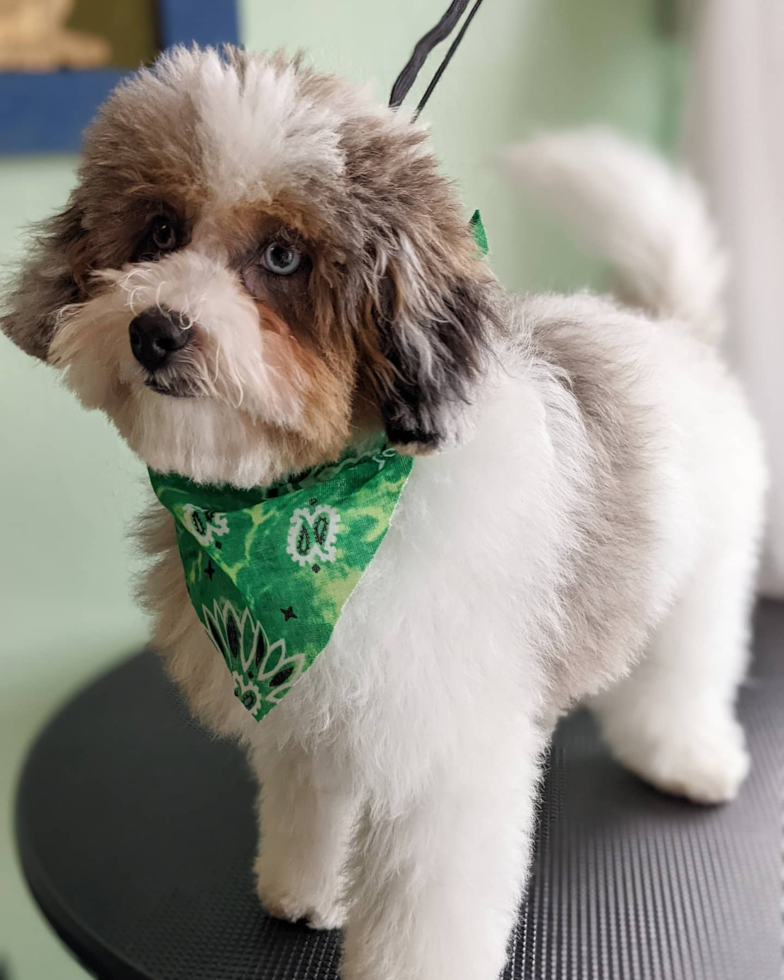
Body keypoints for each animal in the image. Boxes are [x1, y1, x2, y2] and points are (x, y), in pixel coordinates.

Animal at [1, 47, 764, 980]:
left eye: (282, 254)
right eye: (159, 231)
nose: (155, 330)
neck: (308, 514)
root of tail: (666, 329)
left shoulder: (444, 749)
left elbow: (425, 900)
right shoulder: (311, 708)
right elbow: (310, 804)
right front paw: (306, 889)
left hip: (709, 568)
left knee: (688, 665)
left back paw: (685, 755)